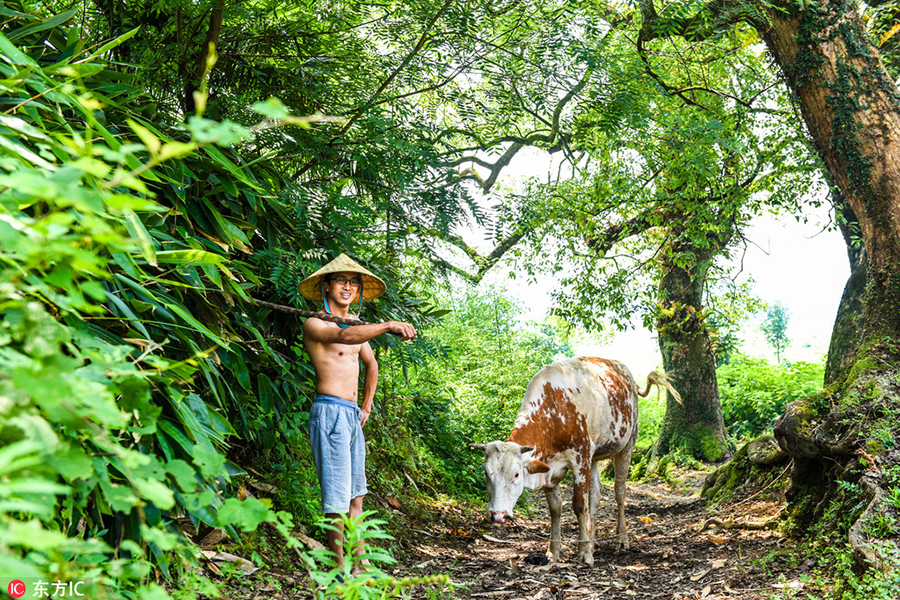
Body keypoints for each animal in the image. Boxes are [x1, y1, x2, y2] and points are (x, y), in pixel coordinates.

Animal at [472, 358, 684, 564]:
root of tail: (624, 372)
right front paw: (554, 551)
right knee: (596, 494)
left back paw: (621, 539)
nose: (497, 515)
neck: (553, 411)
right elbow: (555, 509)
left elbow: (580, 505)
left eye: (516, 475)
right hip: (595, 455)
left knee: (619, 491)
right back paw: (592, 540)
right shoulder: (550, 469)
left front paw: (584, 554)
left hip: (627, 444)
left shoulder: (581, 458)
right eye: (486, 473)